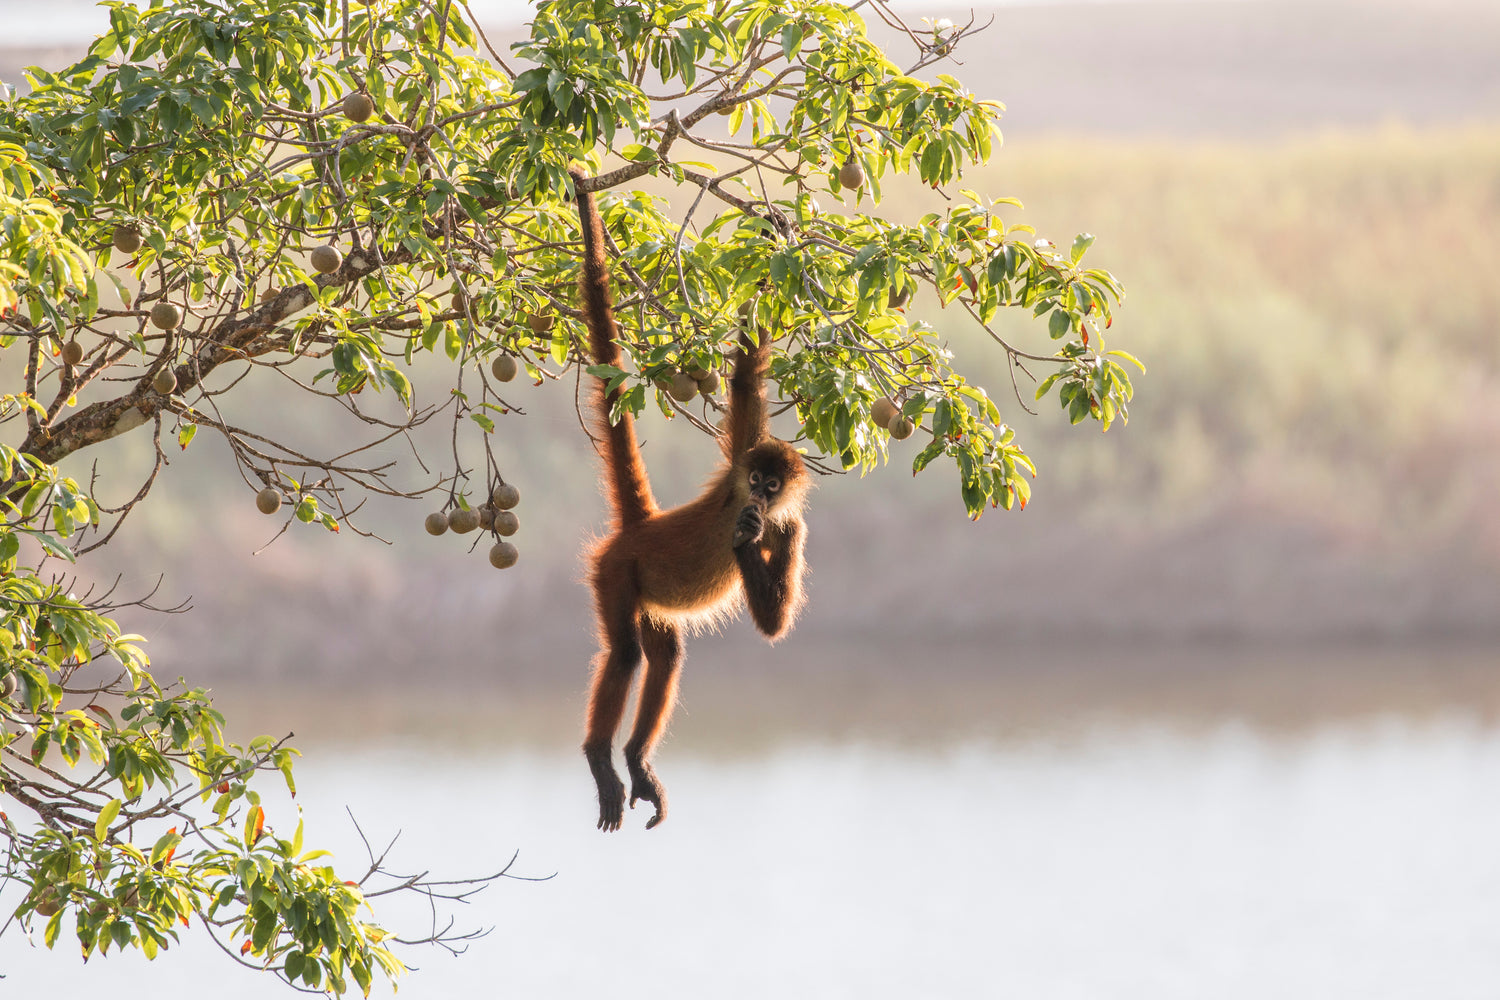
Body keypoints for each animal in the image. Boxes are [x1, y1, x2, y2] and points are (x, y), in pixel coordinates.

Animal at [570, 165, 810, 832]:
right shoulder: (740, 456)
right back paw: (601, 758)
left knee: (665, 655)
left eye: (774, 486)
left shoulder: (793, 525)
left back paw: (634, 758)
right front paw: (772, 236)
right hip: (616, 571)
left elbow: (773, 625)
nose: (756, 502)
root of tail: (641, 527)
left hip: (648, 595)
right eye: (754, 481)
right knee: (625, 654)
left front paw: (749, 540)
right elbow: (748, 375)